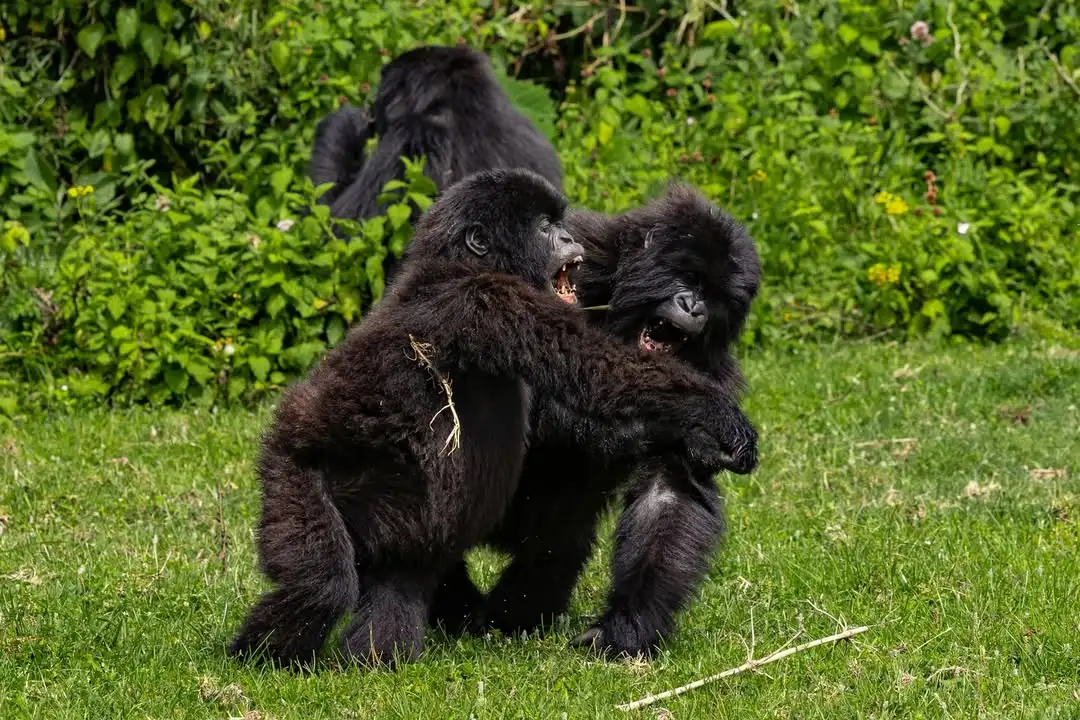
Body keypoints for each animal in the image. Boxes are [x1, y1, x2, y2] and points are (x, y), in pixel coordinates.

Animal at [227, 169, 758, 670]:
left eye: (715, 297)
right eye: (688, 279)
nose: (692, 306)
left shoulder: (711, 365)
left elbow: (672, 491)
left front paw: (627, 627)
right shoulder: (507, 295)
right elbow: (587, 374)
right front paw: (669, 422)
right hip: (305, 479)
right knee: (332, 569)